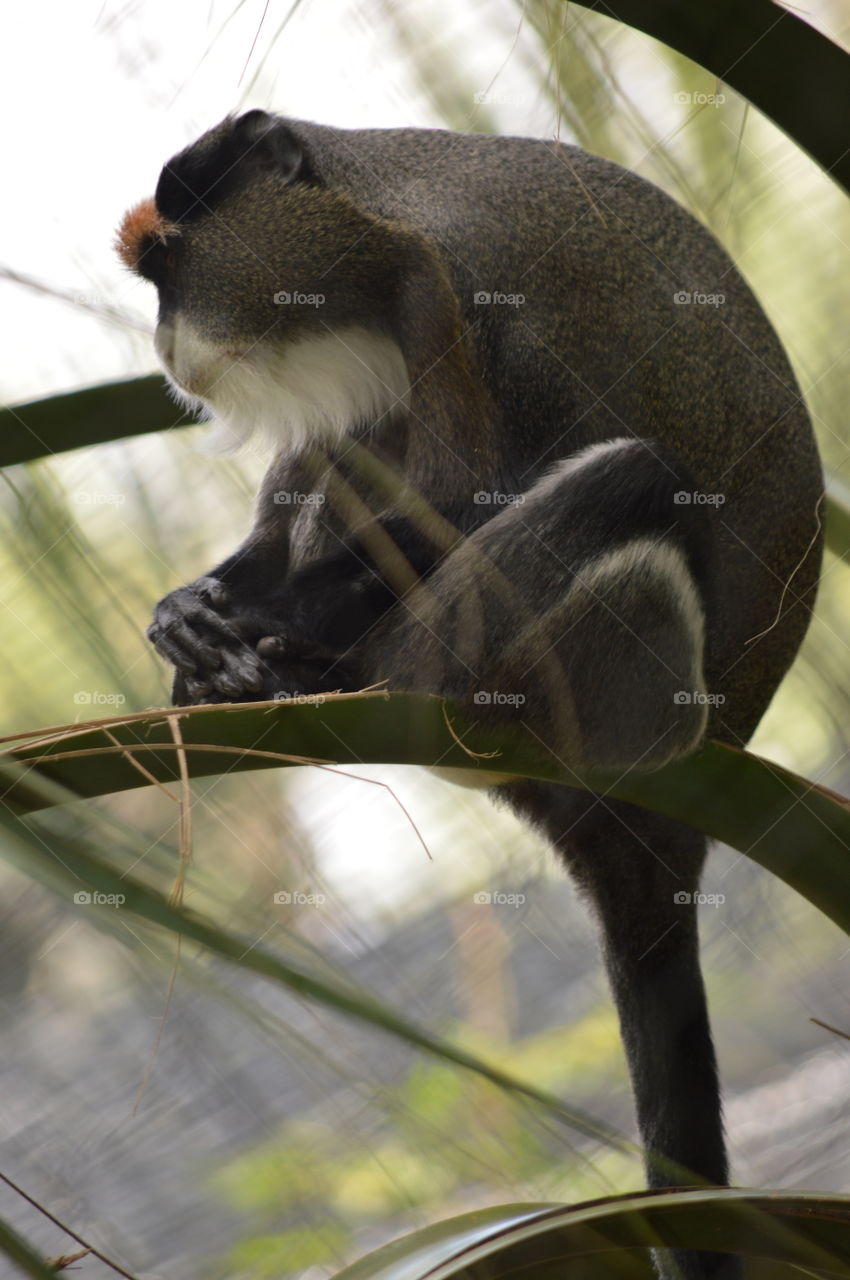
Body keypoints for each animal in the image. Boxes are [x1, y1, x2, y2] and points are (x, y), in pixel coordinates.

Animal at [117, 109, 823, 1280]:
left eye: (169, 269)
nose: (164, 347)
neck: (375, 206)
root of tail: (652, 826)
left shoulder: (453, 274)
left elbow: (469, 489)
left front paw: (271, 634)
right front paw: (189, 617)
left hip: (599, 685)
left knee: (628, 477)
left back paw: (335, 672)